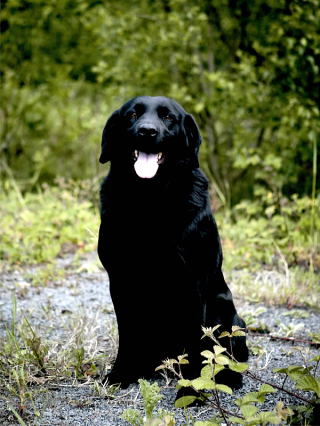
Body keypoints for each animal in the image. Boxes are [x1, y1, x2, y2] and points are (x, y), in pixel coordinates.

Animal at [99, 96, 249, 390]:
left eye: (168, 117)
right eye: (132, 115)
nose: (147, 131)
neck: (150, 198)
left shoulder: (193, 284)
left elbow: (195, 346)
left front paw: (192, 389)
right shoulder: (120, 280)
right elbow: (127, 335)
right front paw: (121, 374)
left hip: (226, 313)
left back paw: (229, 376)